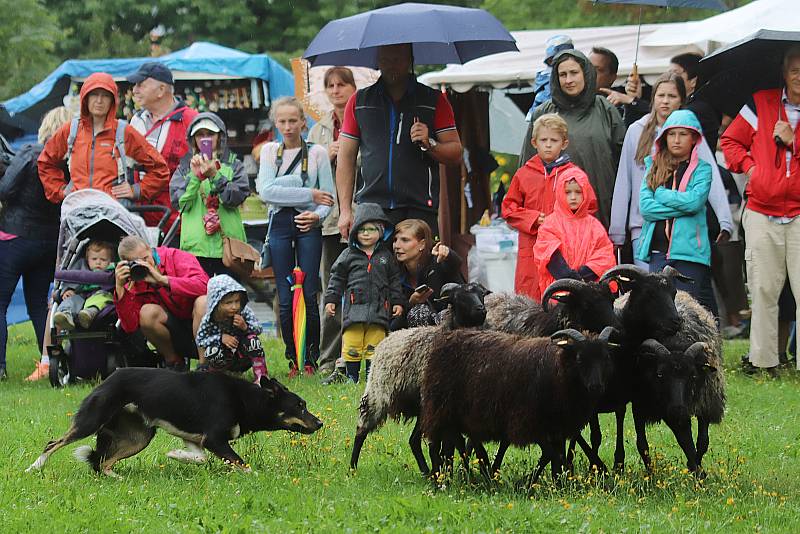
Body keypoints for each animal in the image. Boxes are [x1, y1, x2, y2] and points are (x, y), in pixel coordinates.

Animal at [26, 368, 324, 478]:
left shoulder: (196, 439)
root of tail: (107, 378)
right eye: (300, 406)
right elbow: (243, 464)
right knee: (54, 443)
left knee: (102, 462)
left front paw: (175, 455)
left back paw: (118, 478)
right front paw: (257, 476)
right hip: (92, 419)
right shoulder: (215, 438)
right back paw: (34, 467)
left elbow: (200, 458)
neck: (244, 399)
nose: (320, 423)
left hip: (139, 437)